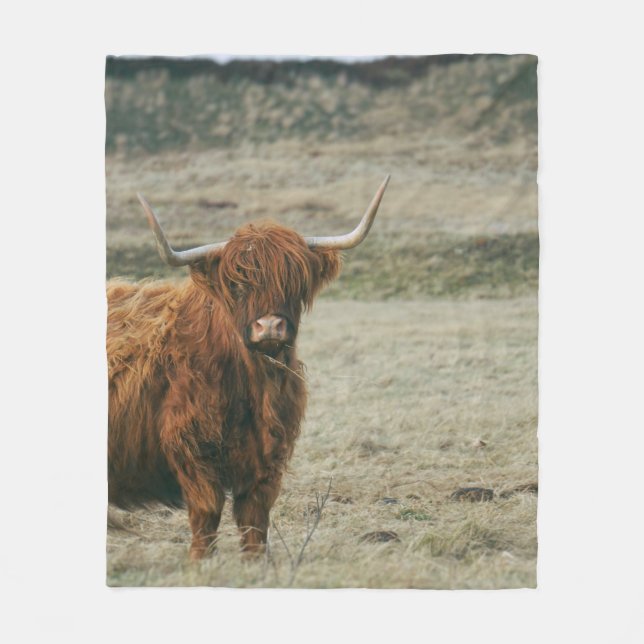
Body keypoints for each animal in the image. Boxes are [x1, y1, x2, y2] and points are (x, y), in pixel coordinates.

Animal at [107, 176, 389, 559]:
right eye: (237, 285)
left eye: (294, 281)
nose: (269, 326)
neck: (254, 386)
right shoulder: (192, 450)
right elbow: (206, 516)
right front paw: (199, 564)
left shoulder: (267, 460)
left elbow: (254, 522)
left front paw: (255, 565)